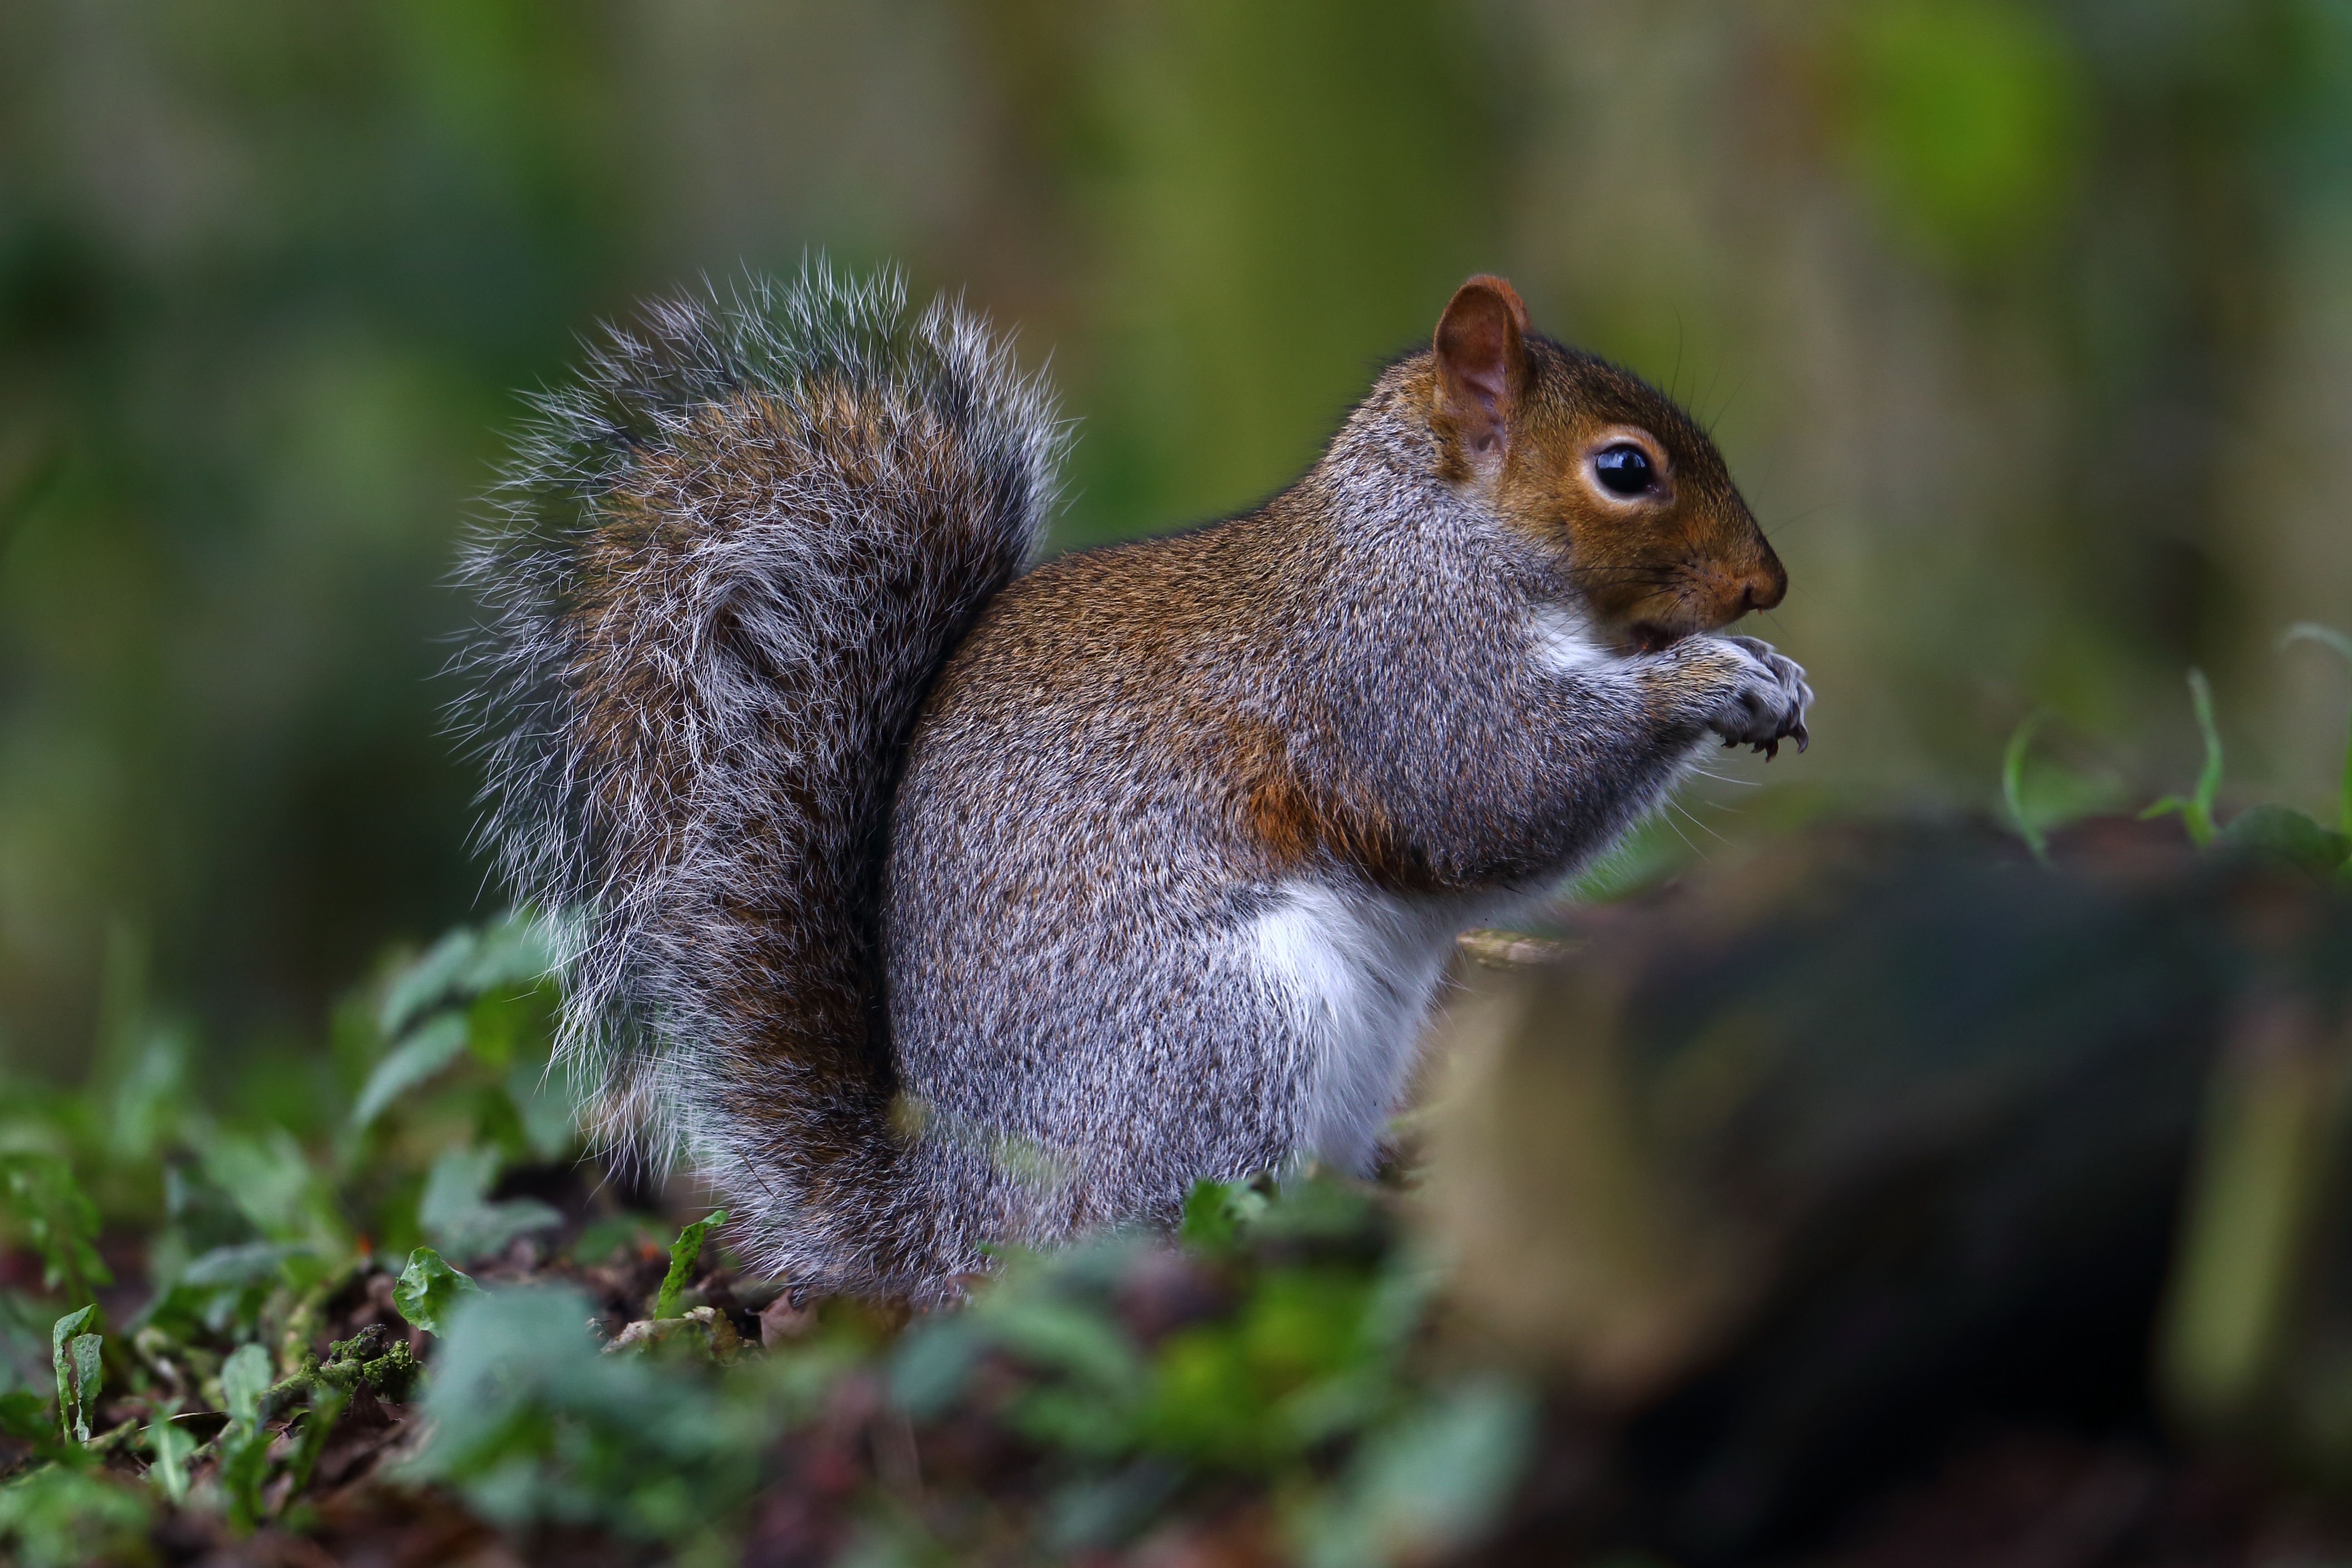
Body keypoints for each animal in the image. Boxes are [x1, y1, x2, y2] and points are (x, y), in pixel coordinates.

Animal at [463, 263, 1816, 1307]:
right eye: (1625, 469)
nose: (1767, 585)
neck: (1432, 528)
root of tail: (956, 1219)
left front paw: (1771, 673)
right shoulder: (1392, 668)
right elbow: (1494, 792)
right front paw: (1711, 679)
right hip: (1222, 1036)